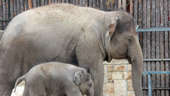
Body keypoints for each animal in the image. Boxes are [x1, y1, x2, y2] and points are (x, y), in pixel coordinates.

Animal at [0, 3, 143, 96]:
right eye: (130, 39)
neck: (106, 16)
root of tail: (6, 29)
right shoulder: (88, 44)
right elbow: (97, 72)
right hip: (10, 56)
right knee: (6, 85)